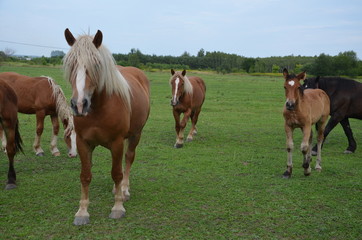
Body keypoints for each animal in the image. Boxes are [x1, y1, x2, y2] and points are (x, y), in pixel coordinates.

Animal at [63, 28, 150, 225]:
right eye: (71, 64)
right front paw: (82, 212)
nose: (79, 105)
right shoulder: (83, 143)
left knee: (128, 159)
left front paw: (117, 207)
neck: (99, 108)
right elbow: (85, 175)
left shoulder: (116, 142)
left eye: (96, 65)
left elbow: (117, 173)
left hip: (136, 134)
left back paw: (124, 190)